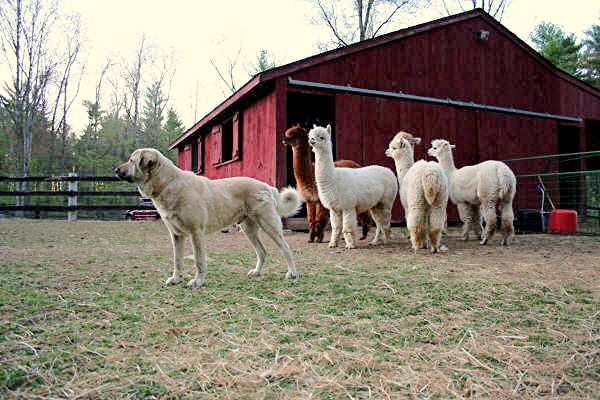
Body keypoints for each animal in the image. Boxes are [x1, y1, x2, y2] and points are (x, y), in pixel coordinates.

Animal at [115, 148, 302, 286]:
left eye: (131, 161)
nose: (115, 170)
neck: (167, 183)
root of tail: (266, 186)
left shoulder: (195, 233)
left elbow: (198, 260)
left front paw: (198, 281)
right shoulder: (176, 235)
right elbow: (177, 260)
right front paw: (176, 279)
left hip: (269, 225)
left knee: (286, 248)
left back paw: (292, 273)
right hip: (248, 229)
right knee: (262, 251)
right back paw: (257, 272)